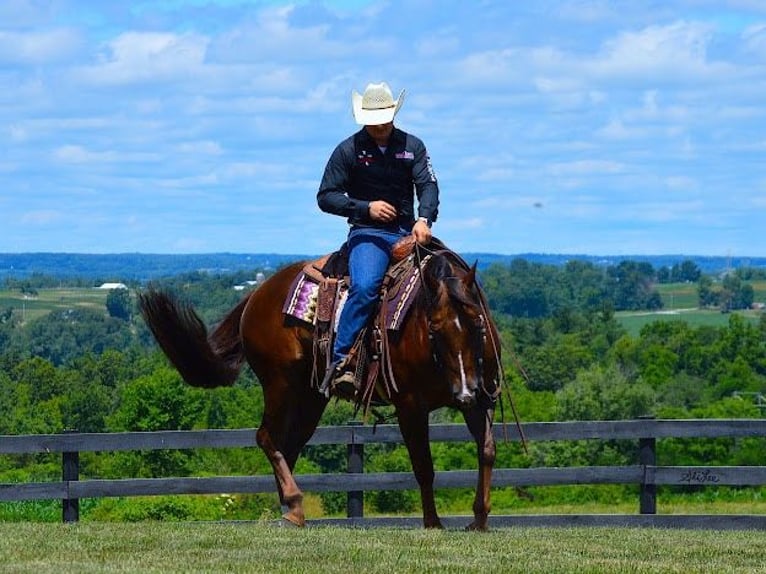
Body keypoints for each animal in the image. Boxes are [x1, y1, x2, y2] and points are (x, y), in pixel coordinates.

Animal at [140, 244, 504, 532]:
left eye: (477, 322)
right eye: (434, 327)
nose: (465, 391)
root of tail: (258, 294)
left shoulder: (480, 399)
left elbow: (487, 450)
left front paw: (480, 518)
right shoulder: (410, 406)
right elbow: (424, 467)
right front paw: (432, 523)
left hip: (310, 396)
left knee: (287, 446)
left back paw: (291, 511)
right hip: (279, 384)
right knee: (267, 438)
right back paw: (294, 502)